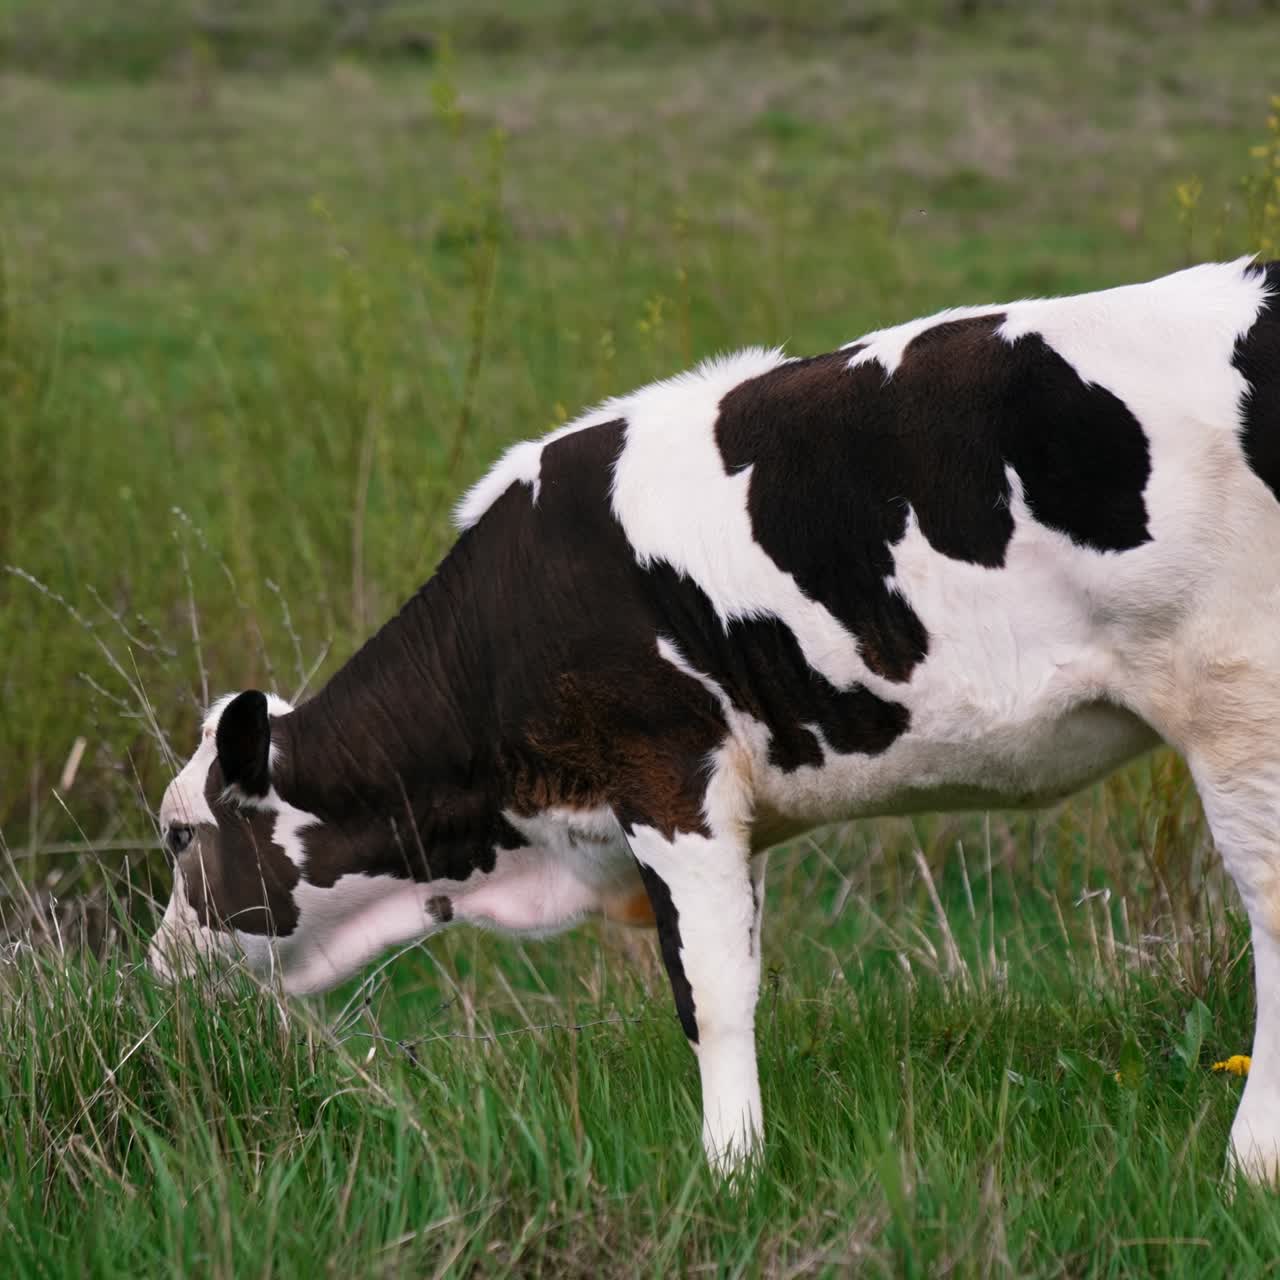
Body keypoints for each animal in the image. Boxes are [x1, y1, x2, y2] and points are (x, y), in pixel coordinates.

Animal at [151, 258, 1280, 1180]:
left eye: (178, 837)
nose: (155, 972)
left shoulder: (666, 774)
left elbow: (709, 993)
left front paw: (729, 1169)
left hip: (1239, 697)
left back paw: (1249, 1161)